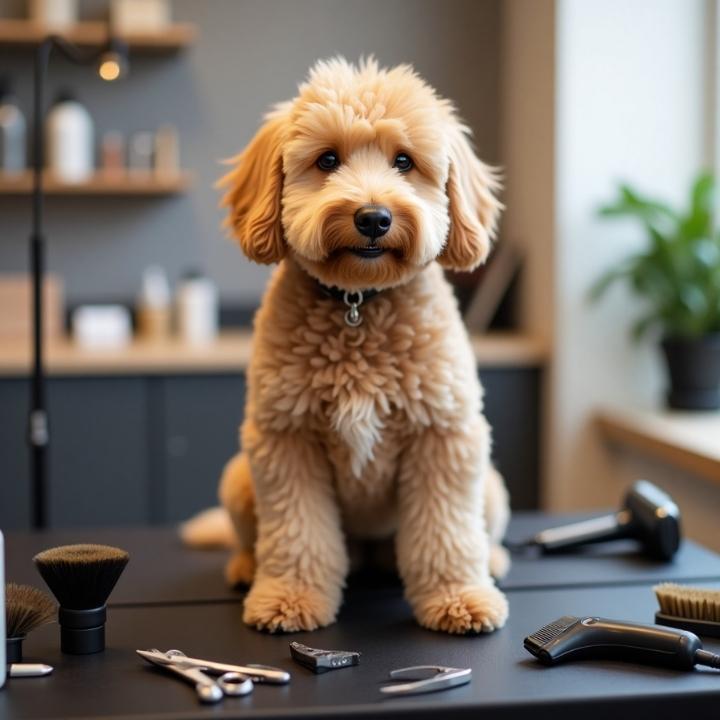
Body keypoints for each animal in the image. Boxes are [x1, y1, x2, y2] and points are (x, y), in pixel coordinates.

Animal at [186, 57, 512, 636]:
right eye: (328, 160)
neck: (359, 302)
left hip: (490, 486)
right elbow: (297, 535)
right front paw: (290, 598)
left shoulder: (444, 437)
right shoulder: (286, 442)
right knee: (256, 540)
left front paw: (458, 598)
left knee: (479, 533)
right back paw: (247, 568)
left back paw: (490, 563)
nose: (374, 218)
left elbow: (448, 534)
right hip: (239, 479)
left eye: (404, 161)